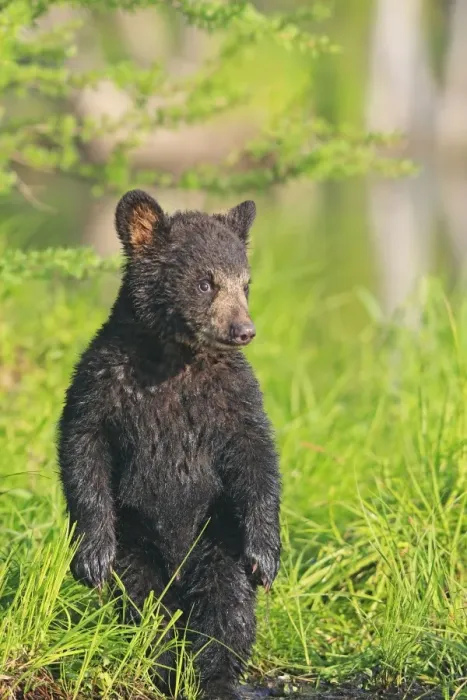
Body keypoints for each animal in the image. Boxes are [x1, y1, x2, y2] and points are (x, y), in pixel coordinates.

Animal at [58, 189, 281, 700]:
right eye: (205, 282)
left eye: (246, 284)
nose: (244, 330)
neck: (174, 360)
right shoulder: (103, 381)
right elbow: (83, 445)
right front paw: (92, 558)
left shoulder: (231, 395)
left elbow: (255, 454)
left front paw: (266, 556)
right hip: (137, 537)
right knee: (143, 602)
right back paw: (161, 662)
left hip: (216, 534)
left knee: (226, 605)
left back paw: (213, 677)